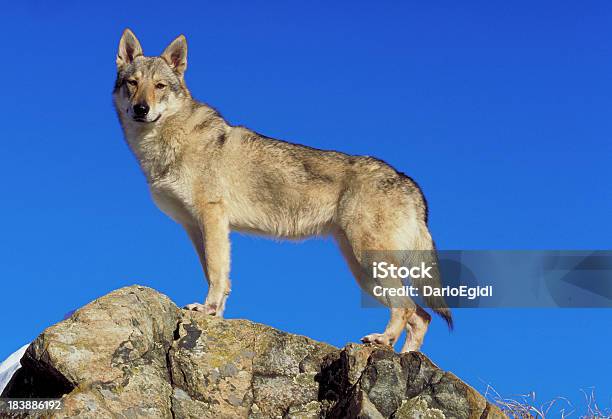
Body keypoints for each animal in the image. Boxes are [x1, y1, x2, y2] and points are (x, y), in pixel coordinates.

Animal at [113, 27, 450, 352]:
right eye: (132, 83)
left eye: (160, 86)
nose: (141, 109)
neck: (163, 146)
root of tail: (410, 184)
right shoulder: (196, 227)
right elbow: (216, 272)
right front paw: (217, 316)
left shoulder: (213, 218)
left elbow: (217, 271)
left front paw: (207, 310)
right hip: (364, 271)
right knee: (422, 316)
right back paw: (404, 354)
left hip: (370, 261)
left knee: (408, 307)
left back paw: (382, 340)